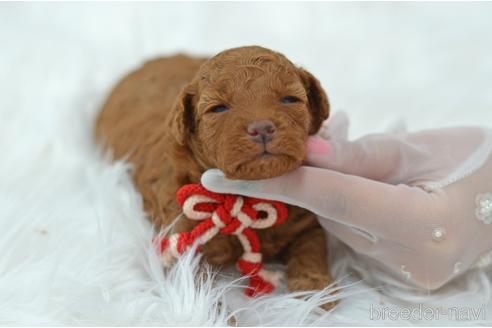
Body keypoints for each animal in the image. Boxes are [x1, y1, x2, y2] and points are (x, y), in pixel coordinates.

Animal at [94, 46, 336, 310]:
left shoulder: (305, 224)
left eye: (290, 99)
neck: (246, 198)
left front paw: (315, 296)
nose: (262, 127)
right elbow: (197, 294)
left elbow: (311, 251)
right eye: (218, 108)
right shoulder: (184, 244)